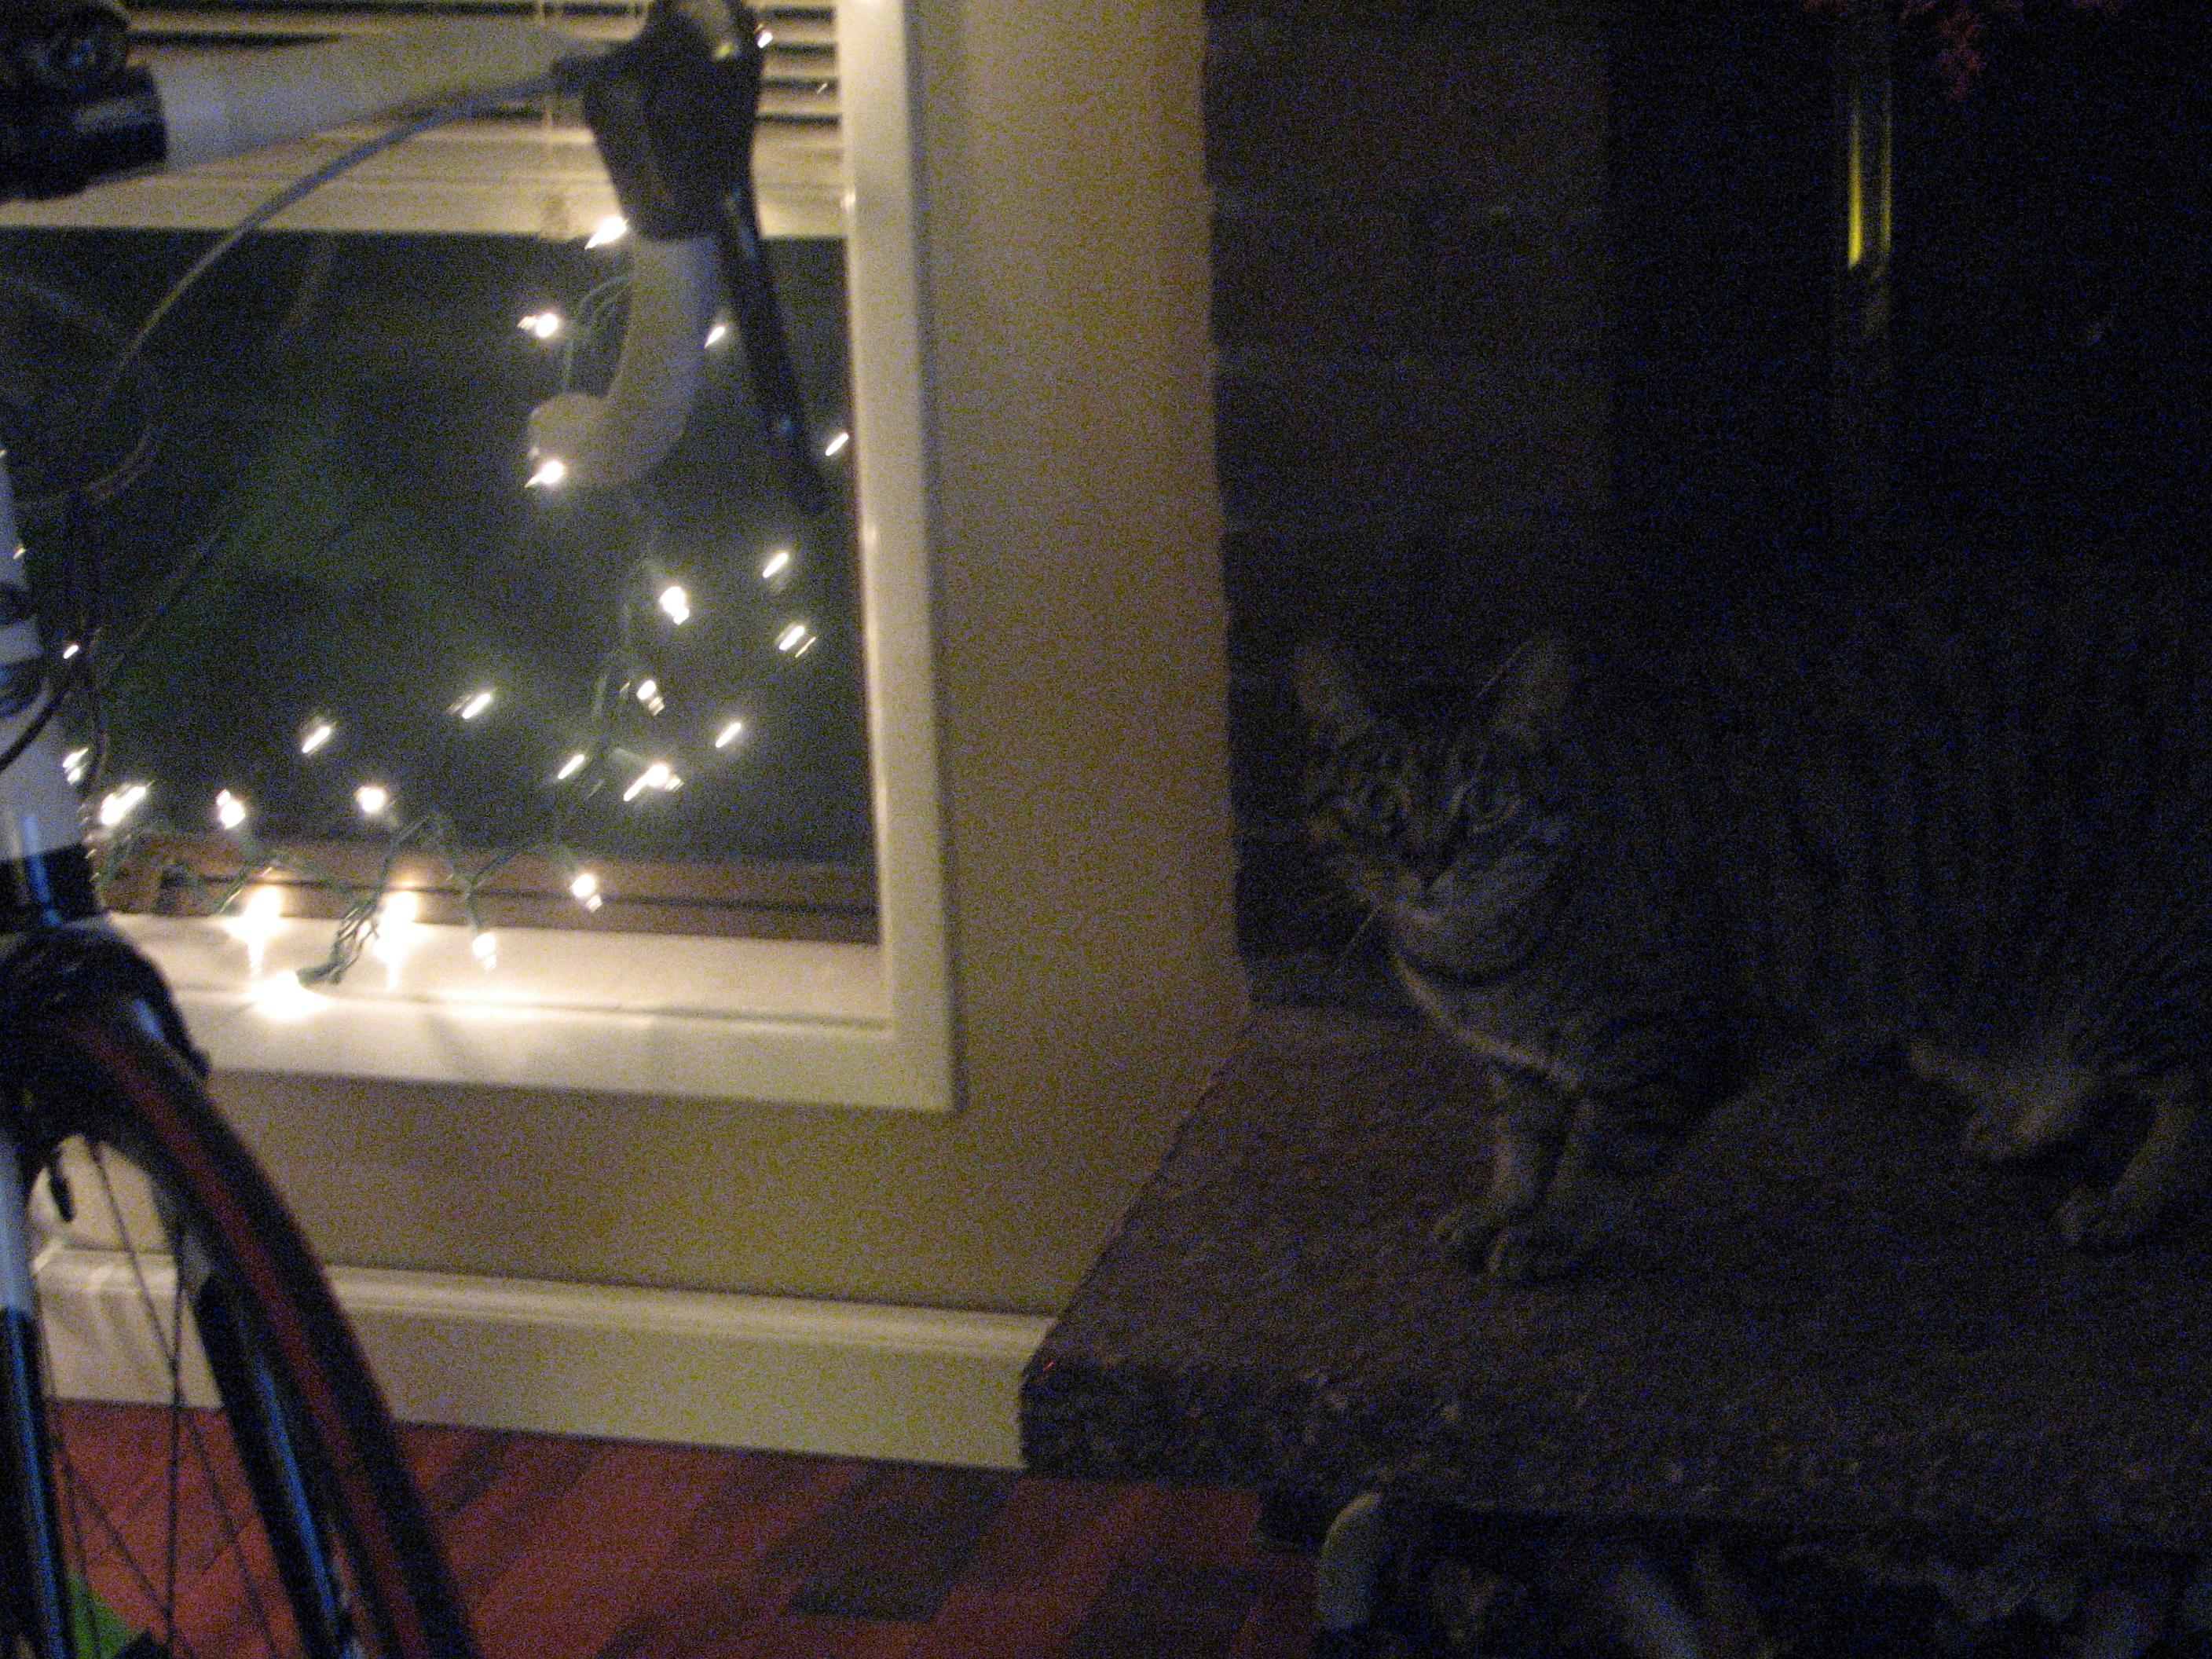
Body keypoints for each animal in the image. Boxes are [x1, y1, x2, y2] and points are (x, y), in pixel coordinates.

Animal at [1295, 579, 2212, 1281]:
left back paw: (2131, 1202)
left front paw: (1550, 1233)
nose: (1426, 863)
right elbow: (1519, 1147)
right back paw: (2026, 1131)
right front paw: (1500, 1209)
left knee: (2191, 1097)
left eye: (1484, 801)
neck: (1479, 961)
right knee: (2078, 1071)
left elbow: (1596, 1161)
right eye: (1378, 803)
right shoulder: (1517, 1068)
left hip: (2135, 971)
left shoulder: (1654, 1047)